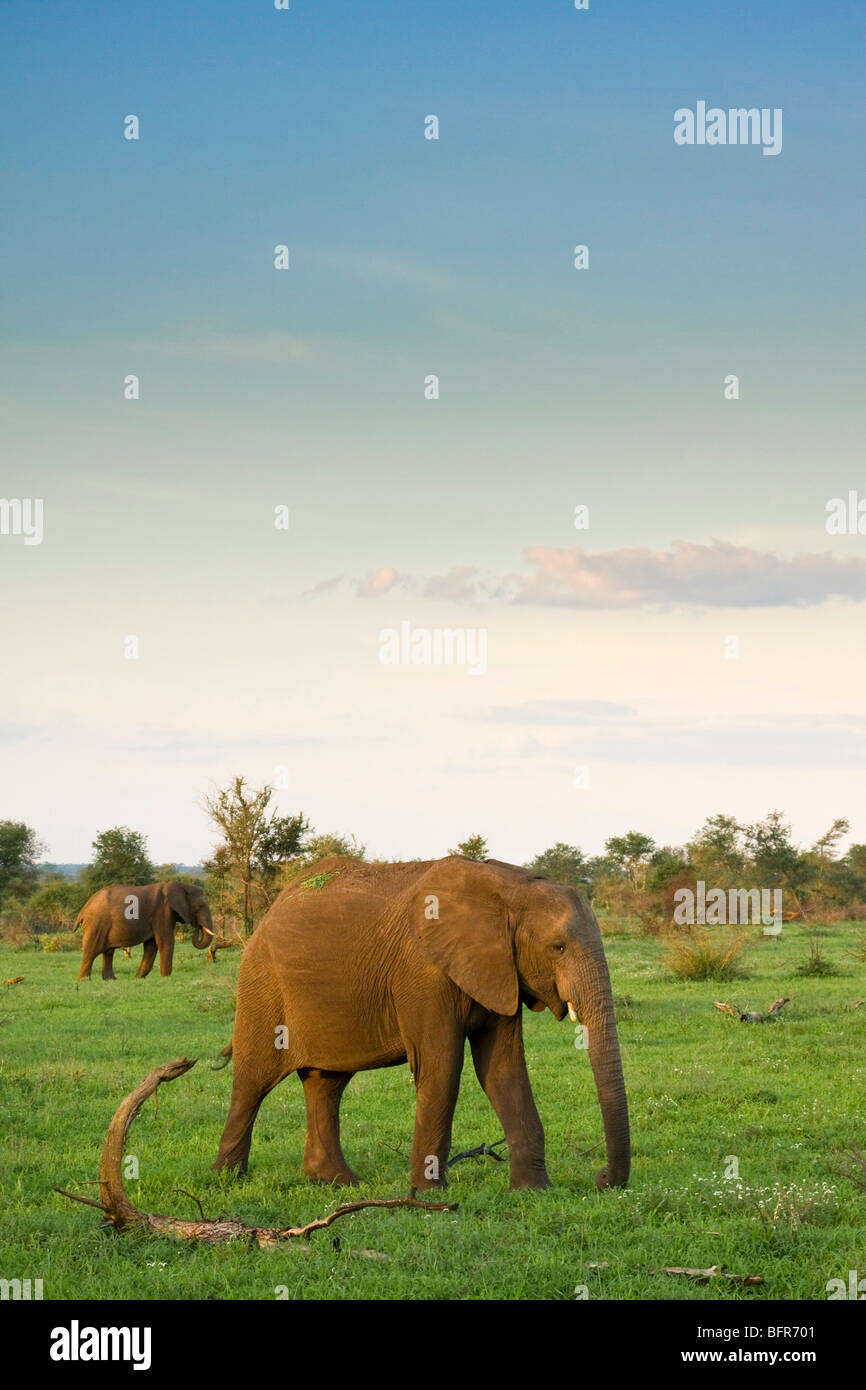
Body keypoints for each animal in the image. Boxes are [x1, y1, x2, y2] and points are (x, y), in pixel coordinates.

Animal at [76, 884, 215, 984]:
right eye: (199, 907)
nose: (197, 925)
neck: (182, 885)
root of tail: (84, 909)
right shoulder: (163, 912)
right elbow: (165, 942)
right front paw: (166, 978)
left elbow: (151, 946)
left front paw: (138, 978)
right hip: (96, 924)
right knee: (91, 951)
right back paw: (84, 981)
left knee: (108, 952)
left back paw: (111, 980)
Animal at [211, 856, 631, 1195]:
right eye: (558, 947)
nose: (601, 1179)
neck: (507, 887)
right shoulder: (423, 974)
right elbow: (441, 1065)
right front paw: (430, 1196)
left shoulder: (499, 968)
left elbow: (502, 1068)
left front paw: (534, 1192)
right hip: (262, 983)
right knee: (253, 1080)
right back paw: (228, 1179)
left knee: (326, 1083)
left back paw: (337, 1182)